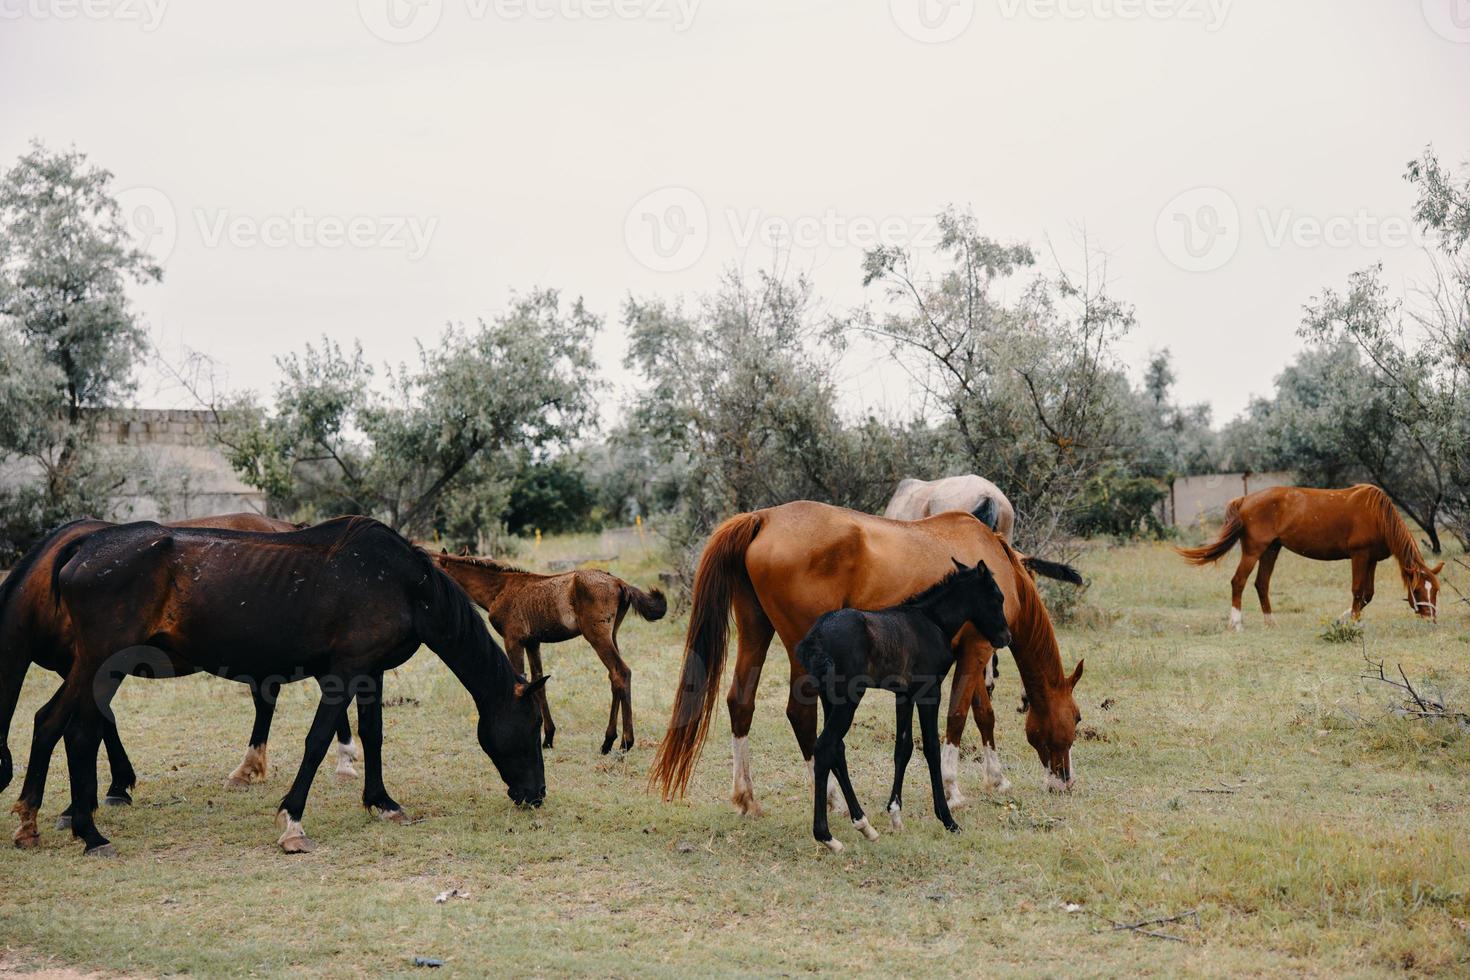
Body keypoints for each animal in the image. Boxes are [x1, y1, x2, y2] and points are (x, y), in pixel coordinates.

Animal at [11, 517, 546, 852]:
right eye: (530, 729)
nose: (536, 794)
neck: (401, 583)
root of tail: (85, 548)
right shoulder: (344, 672)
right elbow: (317, 741)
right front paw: (292, 821)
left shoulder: (370, 672)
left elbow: (372, 736)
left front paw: (382, 802)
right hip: (99, 665)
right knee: (70, 729)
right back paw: (85, 832)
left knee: (57, 725)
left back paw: (42, 824)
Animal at [649, 502, 1087, 816]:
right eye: (1077, 719)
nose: (1065, 781)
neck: (993, 558)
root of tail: (763, 517)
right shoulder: (978, 649)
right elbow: (957, 717)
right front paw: (952, 790)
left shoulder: (971, 651)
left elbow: (984, 715)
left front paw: (996, 779)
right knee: (801, 714)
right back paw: (832, 799)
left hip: (756, 630)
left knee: (741, 703)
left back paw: (747, 798)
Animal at [793, 558, 1011, 852]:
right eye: (997, 598)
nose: (1005, 637)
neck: (932, 622)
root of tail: (816, 635)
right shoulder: (929, 691)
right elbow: (931, 747)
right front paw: (947, 819)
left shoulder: (904, 695)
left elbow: (903, 748)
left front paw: (895, 814)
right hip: (849, 698)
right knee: (825, 746)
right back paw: (827, 837)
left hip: (830, 699)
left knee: (837, 749)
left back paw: (865, 825)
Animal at [1176, 481, 1440, 628]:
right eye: (1418, 590)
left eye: (1435, 590)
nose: (1431, 619)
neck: (1377, 515)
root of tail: (1244, 499)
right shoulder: (1359, 556)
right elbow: (1357, 591)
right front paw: (1352, 622)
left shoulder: (1371, 559)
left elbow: (1368, 595)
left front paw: (1345, 618)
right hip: (1254, 550)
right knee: (1238, 581)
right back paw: (1236, 623)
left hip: (1271, 549)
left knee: (1261, 584)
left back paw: (1270, 622)